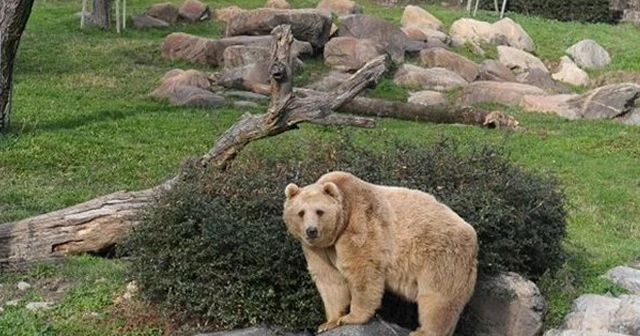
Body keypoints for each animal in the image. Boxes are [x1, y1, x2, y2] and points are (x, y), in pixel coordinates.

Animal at [282, 172, 478, 334]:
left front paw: (351, 317)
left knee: (438, 298)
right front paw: (329, 322)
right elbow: (329, 279)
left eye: (319, 211)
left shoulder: (361, 224)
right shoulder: (318, 249)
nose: (311, 231)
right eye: (301, 213)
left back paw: (423, 331)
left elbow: (363, 271)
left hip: (442, 256)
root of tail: (472, 233)